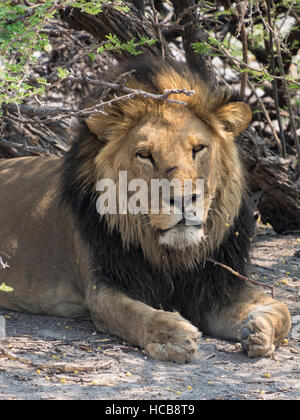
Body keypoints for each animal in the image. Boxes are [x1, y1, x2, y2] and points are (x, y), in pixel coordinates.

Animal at [0, 57, 290, 362]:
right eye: (145, 155)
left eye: (198, 148)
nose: (183, 199)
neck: (171, 255)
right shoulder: (103, 287)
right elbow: (135, 314)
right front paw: (174, 336)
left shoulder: (213, 285)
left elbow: (282, 308)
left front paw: (259, 329)